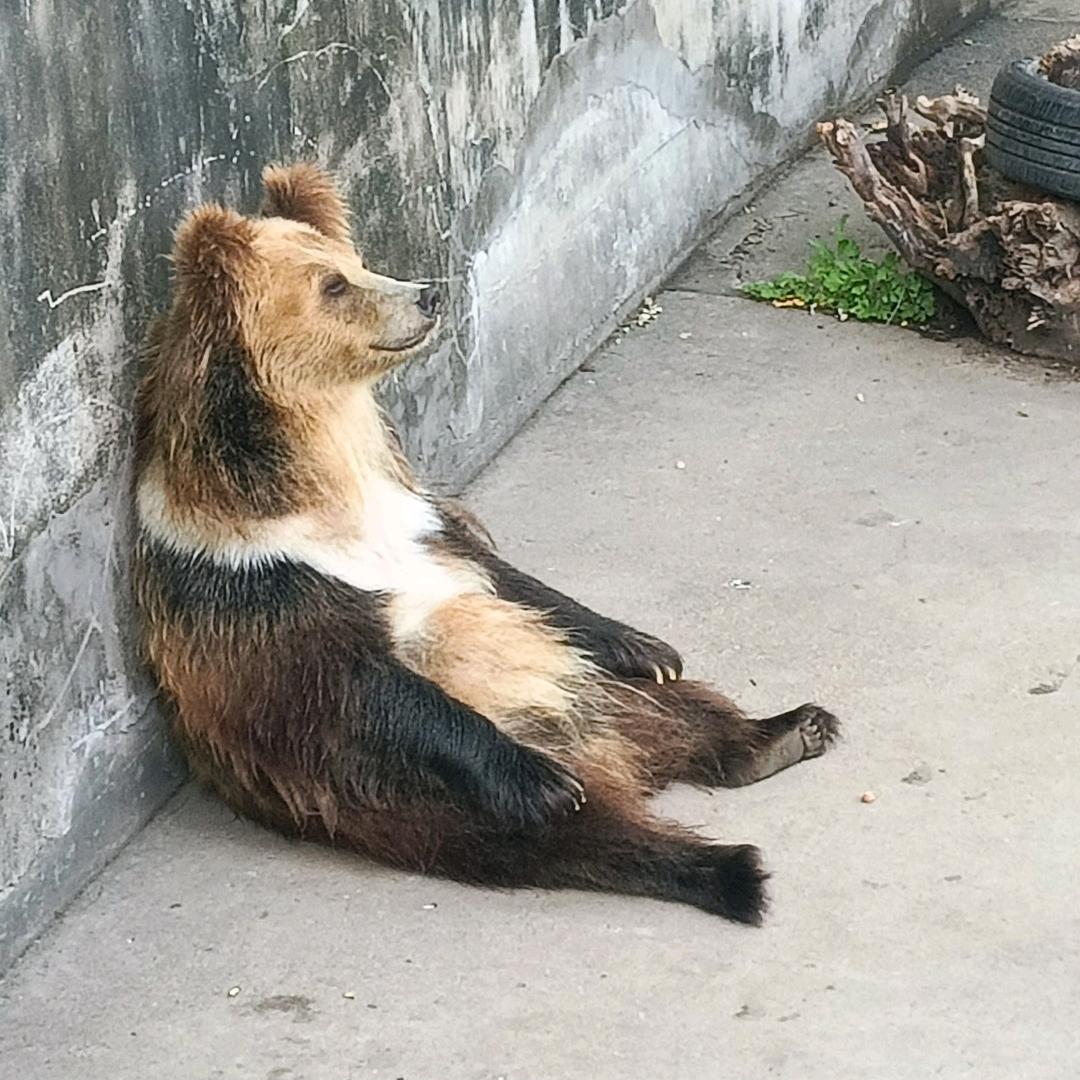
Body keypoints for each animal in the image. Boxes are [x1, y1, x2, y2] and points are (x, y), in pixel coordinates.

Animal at [133, 162, 838, 924]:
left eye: (355, 260)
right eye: (333, 286)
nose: (428, 294)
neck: (318, 477)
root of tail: (620, 756)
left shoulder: (418, 524)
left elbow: (515, 582)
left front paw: (649, 648)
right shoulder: (255, 587)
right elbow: (363, 685)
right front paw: (541, 779)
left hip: (593, 690)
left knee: (686, 710)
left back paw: (784, 731)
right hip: (428, 803)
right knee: (585, 838)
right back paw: (723, 865)